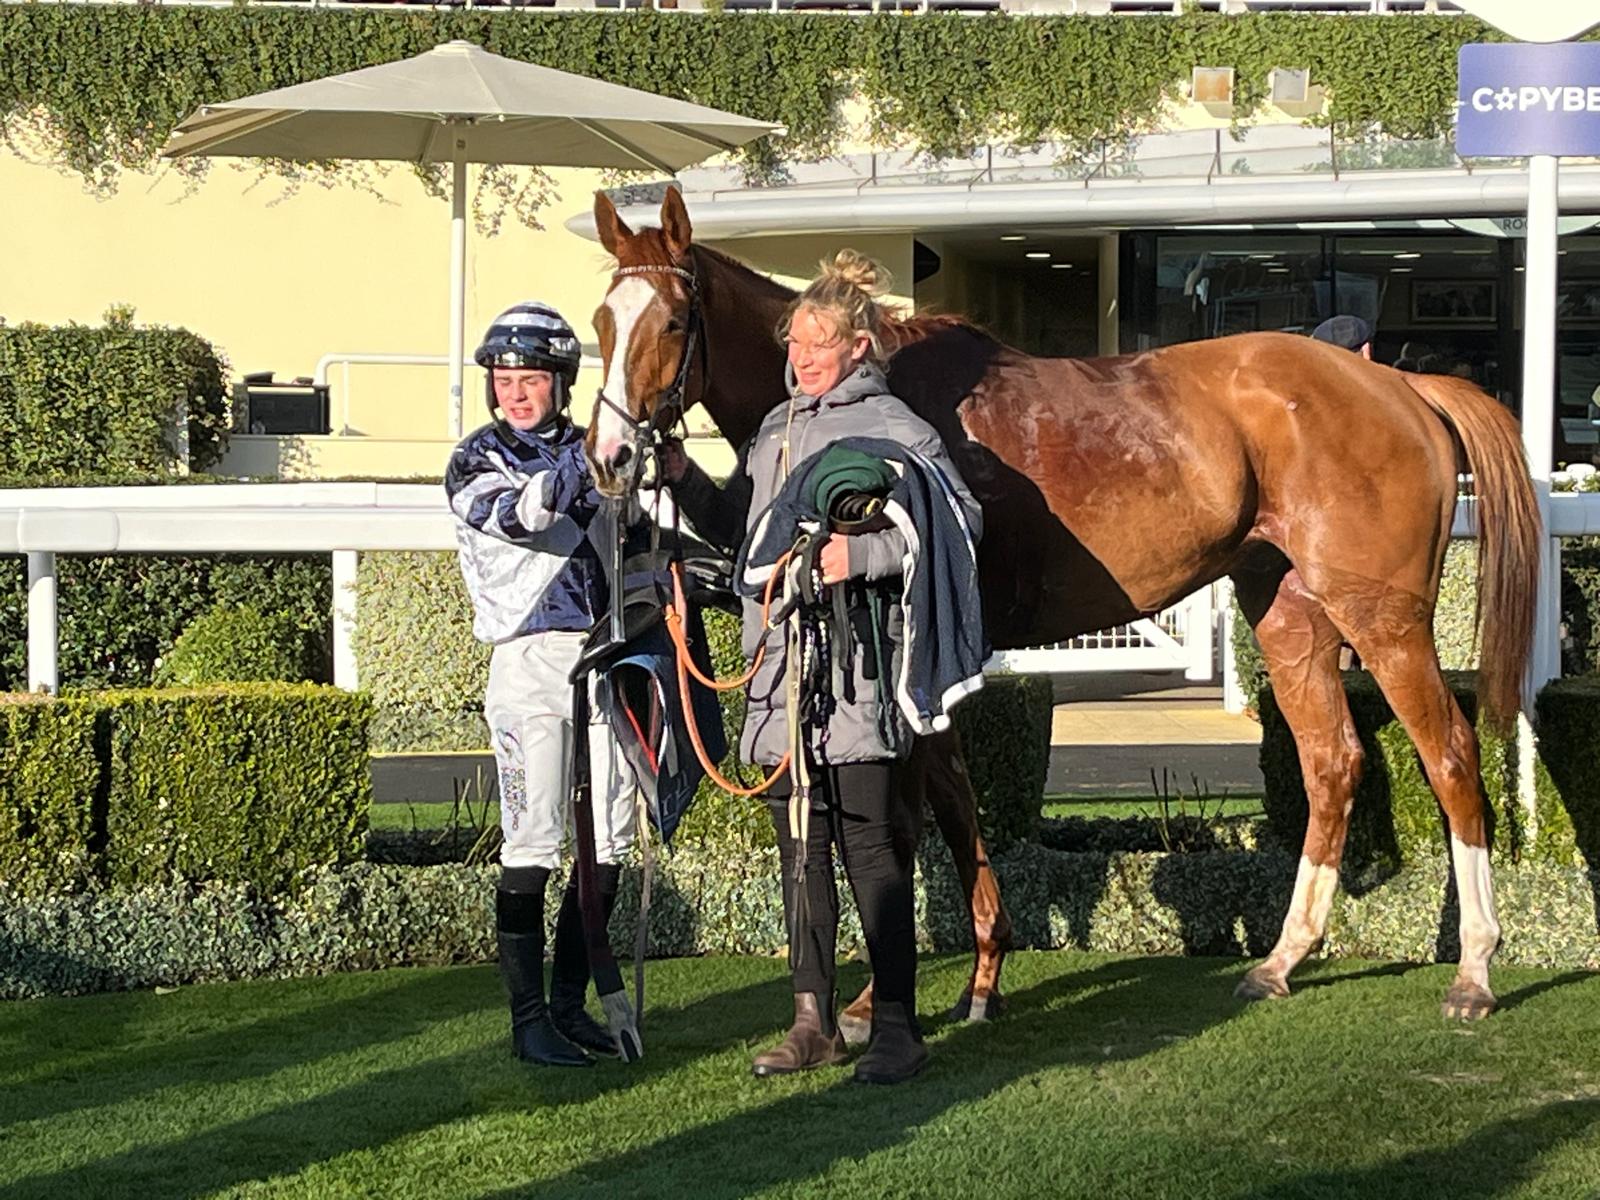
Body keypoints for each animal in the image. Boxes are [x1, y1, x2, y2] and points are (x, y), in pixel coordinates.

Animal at [585, 190, 1536, 1024]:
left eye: (674, 321)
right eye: (601, 322)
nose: (611, 456)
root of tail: (1407, 387)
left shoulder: (917, 649)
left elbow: (925, 811)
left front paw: (914, 990)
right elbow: (949, 800)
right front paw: (962, 973)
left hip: (1382, 617)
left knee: (1451, 757)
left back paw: (1476, 969)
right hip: (1288, 610)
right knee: (1333, 759)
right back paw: (1281, 959)